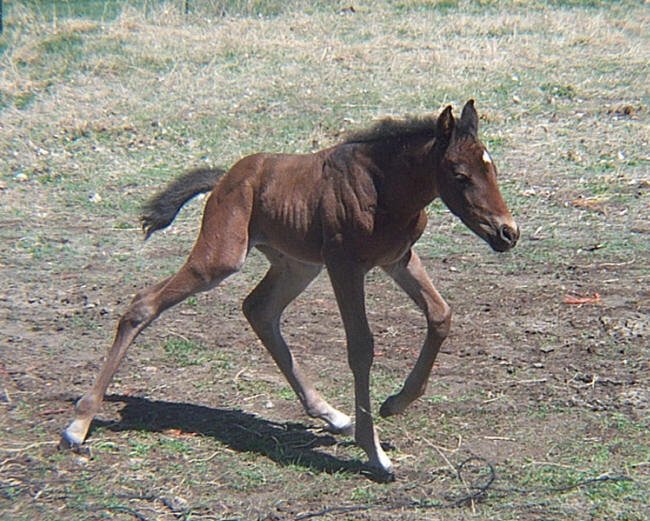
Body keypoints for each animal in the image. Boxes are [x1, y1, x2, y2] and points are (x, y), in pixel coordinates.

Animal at [60, 99, 516, 478]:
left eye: (493, 169)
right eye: (460, 175)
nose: (507, 233)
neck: (383, 185)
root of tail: (225, 178)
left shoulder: (397, 258)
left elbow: (440, 315)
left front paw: (394, 404)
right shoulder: (345, 266)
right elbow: (361, 347)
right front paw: (375, 453)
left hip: (297, 265)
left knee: (258, 309)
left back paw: (332, 415)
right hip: (221, 258)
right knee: (144, 304)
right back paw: (79, 425)